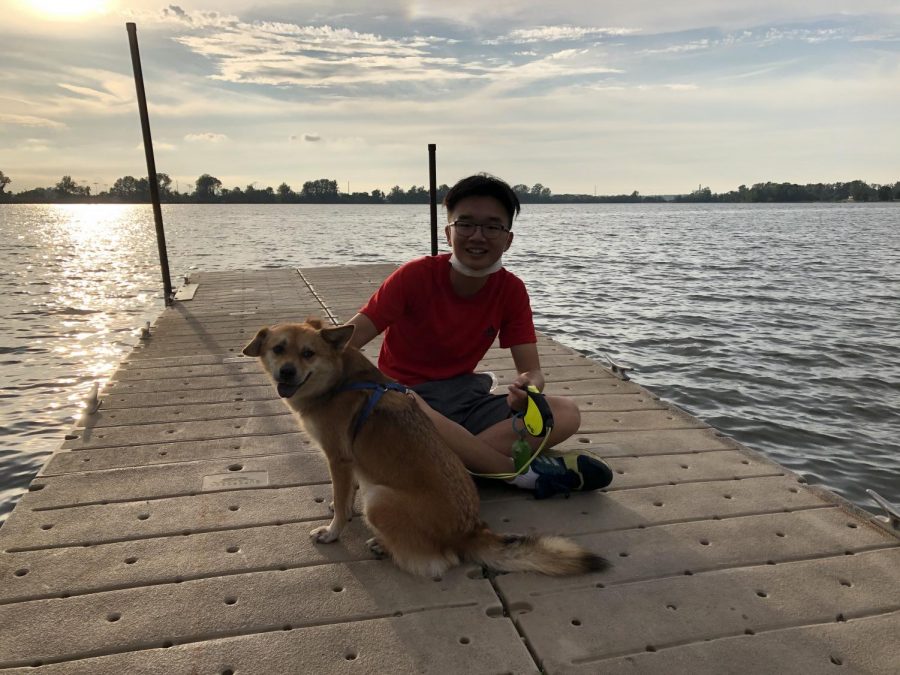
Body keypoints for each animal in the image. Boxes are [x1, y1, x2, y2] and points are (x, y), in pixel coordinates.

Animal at [243, 320, 608, 580]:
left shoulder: (339, 458)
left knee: (440, 560)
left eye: (308, 354)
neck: (339, 379)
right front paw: (340, 507)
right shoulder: (351, 464)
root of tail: (469, 531)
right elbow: (346, 495)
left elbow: (342, 502)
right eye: (278, 349)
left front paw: (334, 530)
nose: (286, 372)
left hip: (379, 500)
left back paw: (384, 546)